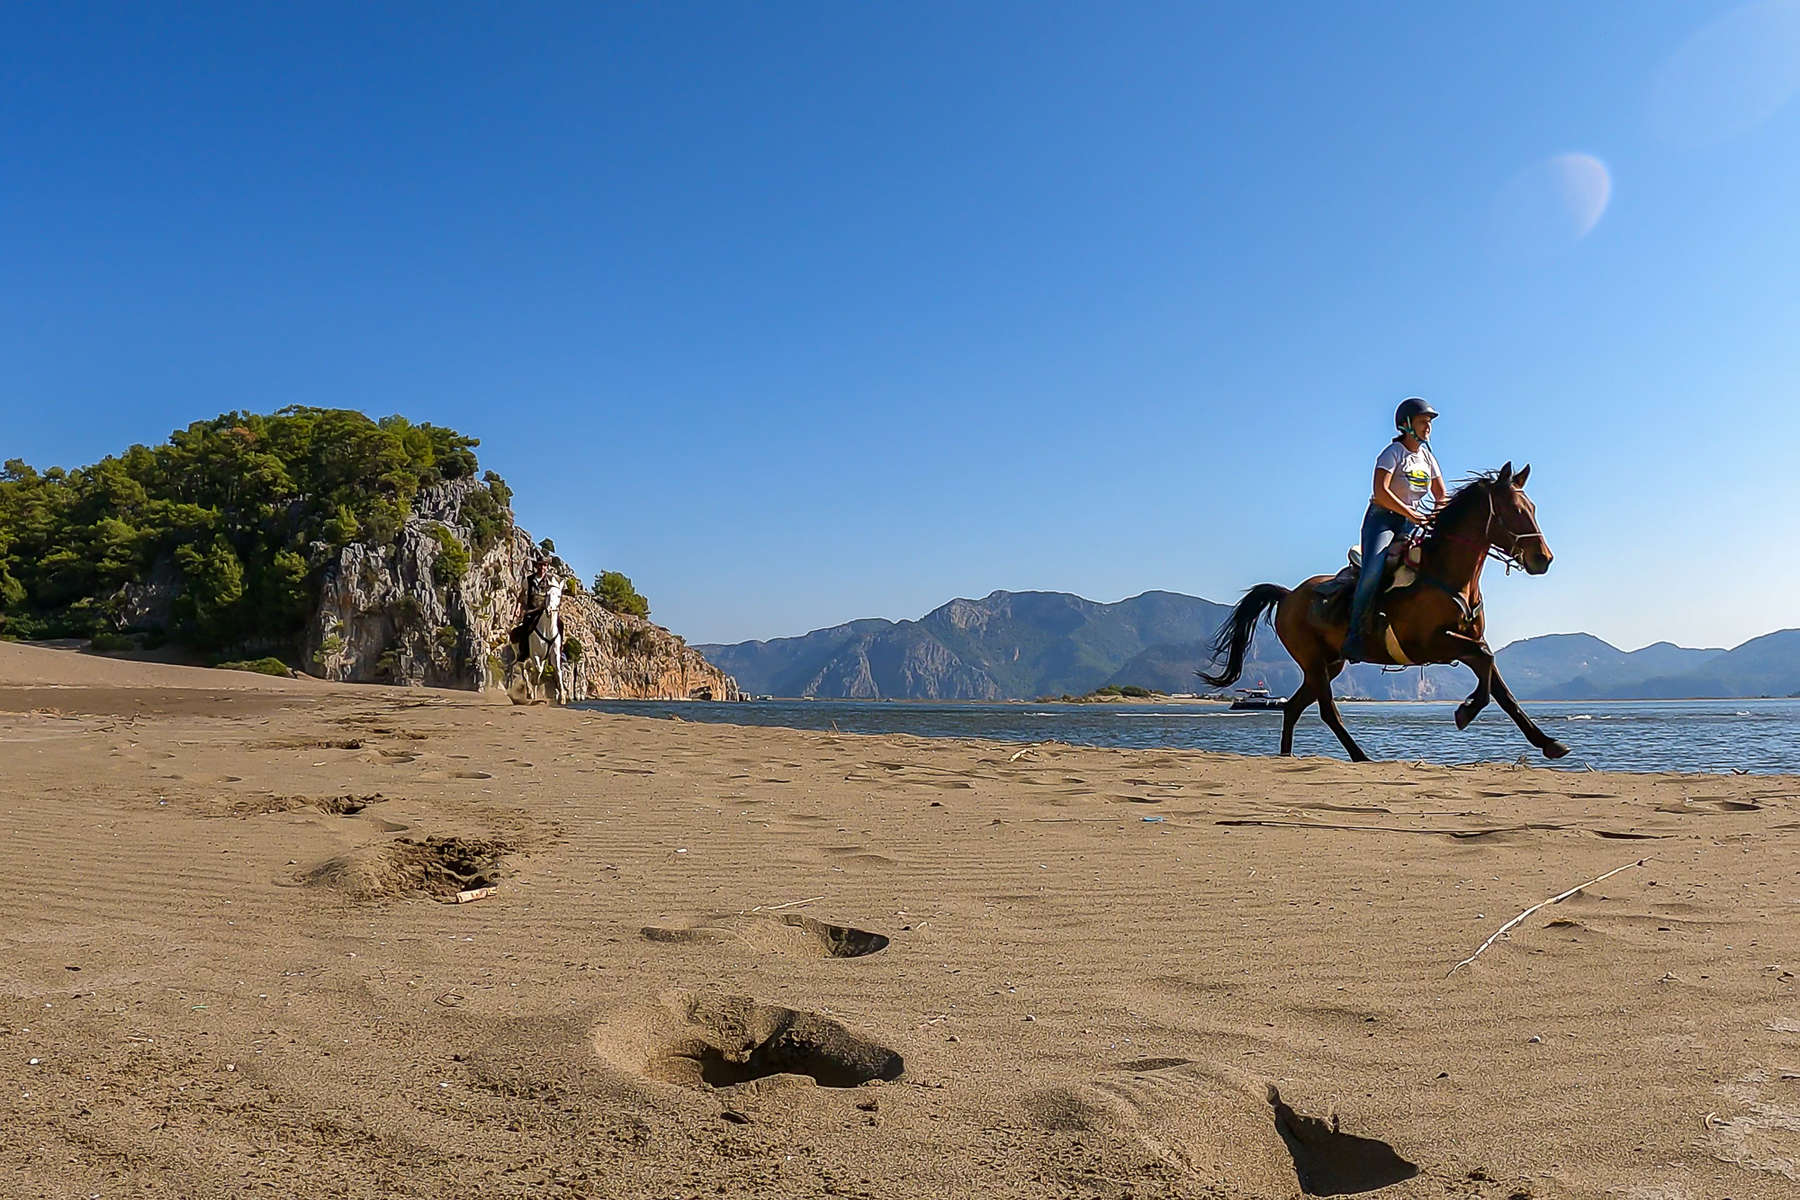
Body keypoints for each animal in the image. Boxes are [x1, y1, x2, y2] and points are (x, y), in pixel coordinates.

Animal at [1202, 464, 1569, 766]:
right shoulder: (1433, 644)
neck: (1447, 576)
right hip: (1313, 661)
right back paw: (1360, 756)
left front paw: (1547, 742)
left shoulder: (1466, 640)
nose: (1544, 558)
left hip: (1328, 664)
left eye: (1532, 509)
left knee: (1293, 707)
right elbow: (1486, 662)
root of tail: (1289, 595)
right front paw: (1465, 711)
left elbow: (1500, 687)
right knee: (1328, 711)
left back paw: (1288, 756)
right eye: (1515, 510)